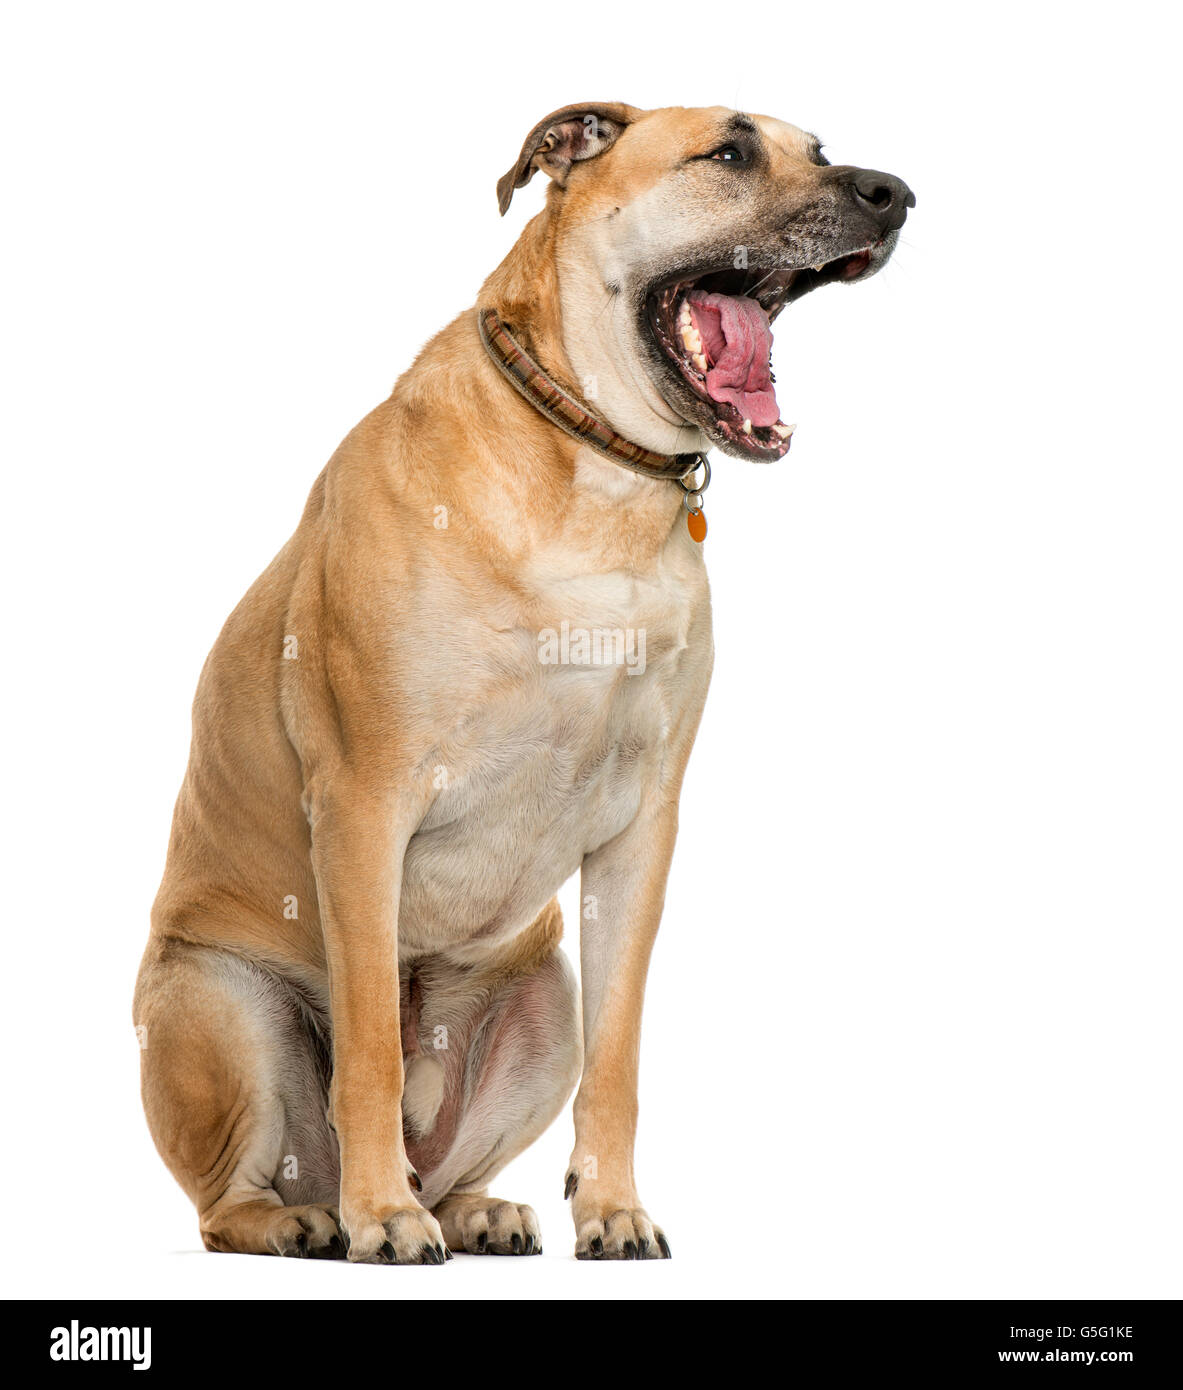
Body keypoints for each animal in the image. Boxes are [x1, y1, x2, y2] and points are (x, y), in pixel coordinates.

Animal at [136, 102, 917, 1267]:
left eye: (817, 151)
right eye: (730, 152)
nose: (893, 194)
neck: (591, 464)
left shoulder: (642, 832)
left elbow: (621, 1055)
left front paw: (613, 1208)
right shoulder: (364, 803)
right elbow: (368, 1047)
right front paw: (382, 1217)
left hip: (540, 1000)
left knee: (465, 1149)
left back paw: (472, 1208)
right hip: (221, 1003)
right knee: (226, 1196)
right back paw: (315, 1214)